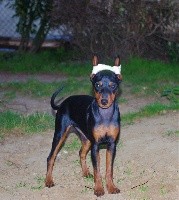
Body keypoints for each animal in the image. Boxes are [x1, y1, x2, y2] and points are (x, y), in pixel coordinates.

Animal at [45, 55, 122, 196]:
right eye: (97, 85)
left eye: (113, 85)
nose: (104, 101)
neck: (105, 115)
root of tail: (63, 103)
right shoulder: (96, 145)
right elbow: (97, 170)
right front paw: (98, 188)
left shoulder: (111, 145)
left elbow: (109, 169)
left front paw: (111, 187)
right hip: (60, 134)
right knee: (51, 157)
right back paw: (48, 180)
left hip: (86, 140)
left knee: (81, 152)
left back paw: (86, 172)